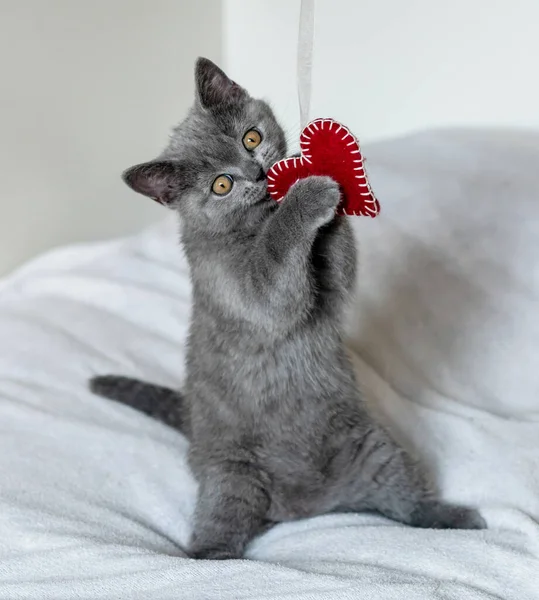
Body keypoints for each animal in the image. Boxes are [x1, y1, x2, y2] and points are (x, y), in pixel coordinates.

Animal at [90, 58, 488, 560]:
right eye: (222, 184)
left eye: (250, 138)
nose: (258, 172)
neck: (256, 218)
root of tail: (308, 508)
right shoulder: (243, 285)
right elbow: (277, 263)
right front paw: (308, 195)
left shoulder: (329, 290)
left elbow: (338, 274)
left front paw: (325, 182)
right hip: (232, 478)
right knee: (219, 529)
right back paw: (203, 560)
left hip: (376, 448)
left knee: (406, 501)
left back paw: (457, 518)